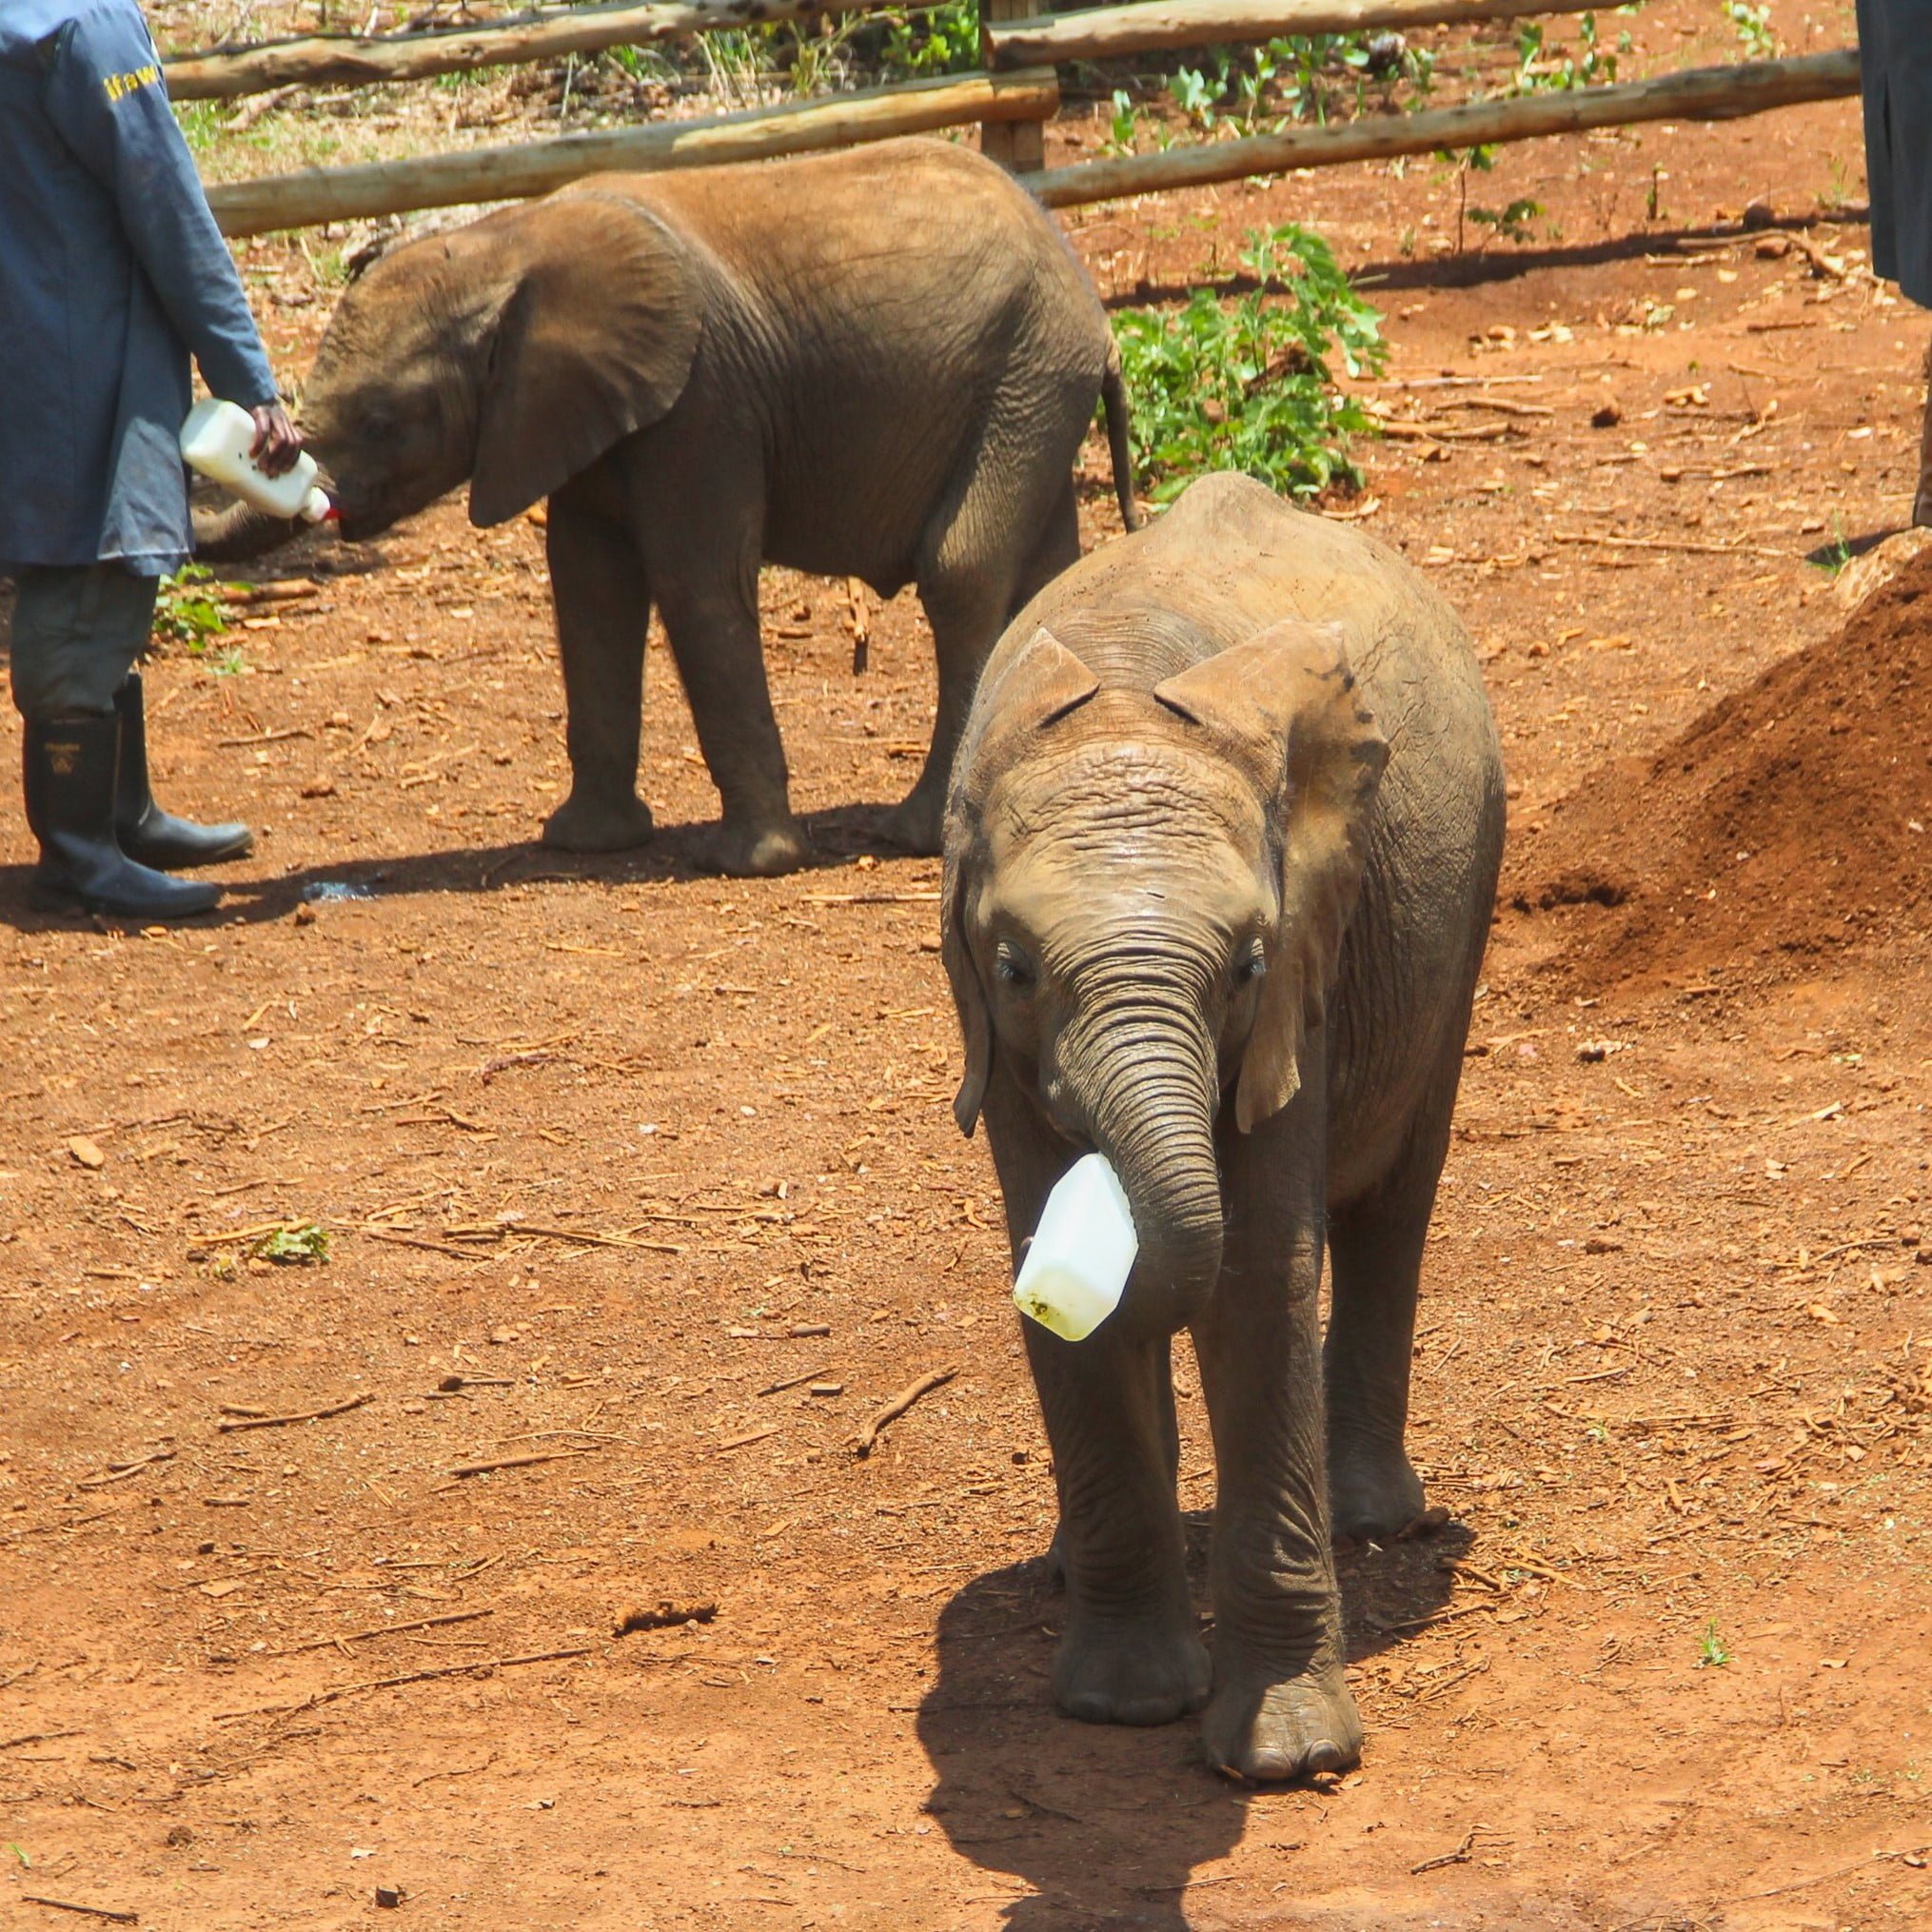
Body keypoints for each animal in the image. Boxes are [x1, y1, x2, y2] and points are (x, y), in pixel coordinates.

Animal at [197, 137, 1138, 876]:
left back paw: (915, 837)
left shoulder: (701, 401)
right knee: (1046, 574)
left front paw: (744, 863)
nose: (275, 464)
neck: (509, 242)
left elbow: (694, 581)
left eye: (383, 423)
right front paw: (582, 843)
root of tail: (1092, 304)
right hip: (1034, 389)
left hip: (1023, 376)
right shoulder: (572, 416)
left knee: (960, 570)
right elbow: (589, 592)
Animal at [940, 471, 1505, 1780]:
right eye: (1013, 966)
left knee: (1395, 1203)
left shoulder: (1308, 973)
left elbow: (1257, 1276)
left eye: (1246, 961)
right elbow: (1049, 1249)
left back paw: (1369, 1519)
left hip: (1464, 898)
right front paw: (1123, 1704)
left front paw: (1288, 1756)